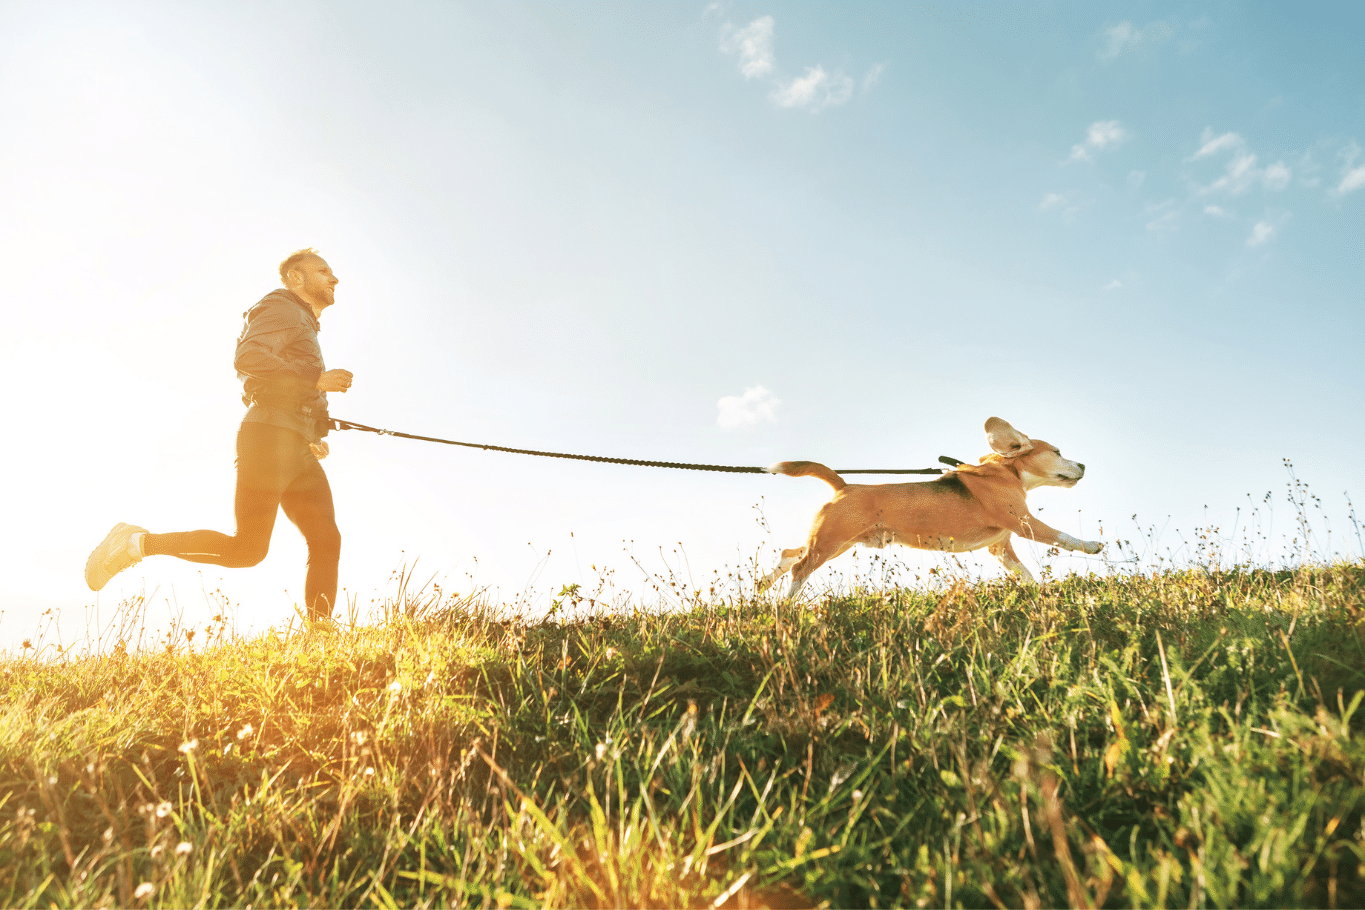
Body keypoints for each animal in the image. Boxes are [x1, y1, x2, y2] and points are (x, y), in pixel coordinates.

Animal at [764, 417, 1102, 600]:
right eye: (1057, 452)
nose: (1085, 466)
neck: (1007, 471)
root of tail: (843, 485)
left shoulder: (1000, 547)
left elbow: (1024, 573)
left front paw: (1037, 591)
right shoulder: (1024, 522)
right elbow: (1062, 536)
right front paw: (1092, 545)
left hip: (836, 542)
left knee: (789, 554)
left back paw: (762, 587)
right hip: (831, 541)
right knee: (799, 568)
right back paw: (786, 606)